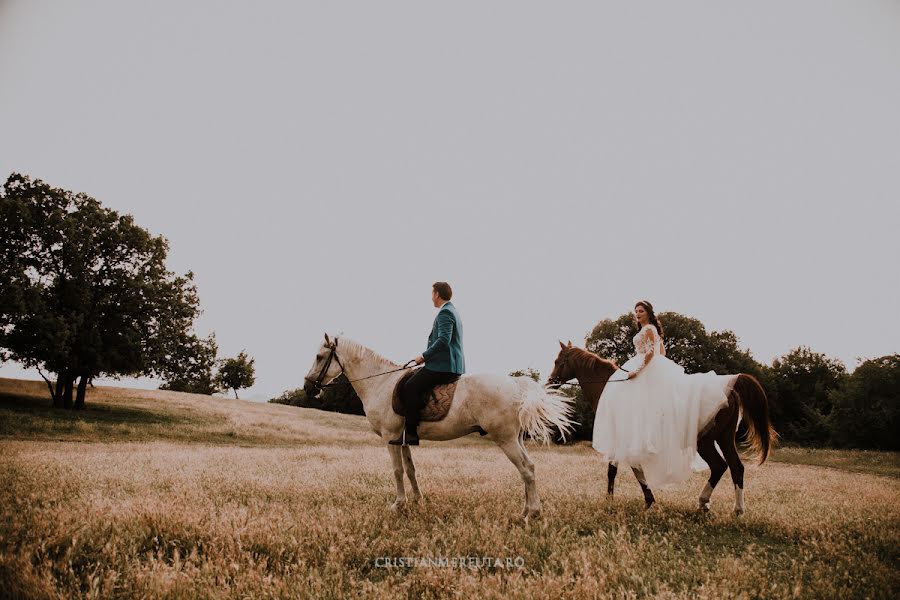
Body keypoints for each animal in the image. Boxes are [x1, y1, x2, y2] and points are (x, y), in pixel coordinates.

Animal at [298, 336, 572, 516]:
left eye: (319, 357)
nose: (308, 387)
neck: (381, 383)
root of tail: (515, 384)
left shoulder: (390, 437)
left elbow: (397, 471)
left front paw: (398, 504)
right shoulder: (402, 438)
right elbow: (410, 470)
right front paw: (418, 501)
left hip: (505, 439)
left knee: (525, 470)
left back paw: (532, 514)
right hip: (515, 438)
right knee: (530, 467)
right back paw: (526, 510)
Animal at [548, 342, 772, 516]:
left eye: (558, 362)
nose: (550, 383)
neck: (608, 388)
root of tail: (730, 389)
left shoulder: (621, 439)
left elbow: (619, 470)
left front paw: (633, 500)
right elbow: (626, 470)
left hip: (705, 441)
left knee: (720, 466)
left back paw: (706, 503)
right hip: (724, 438)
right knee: (735, 467)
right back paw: (734, 509)